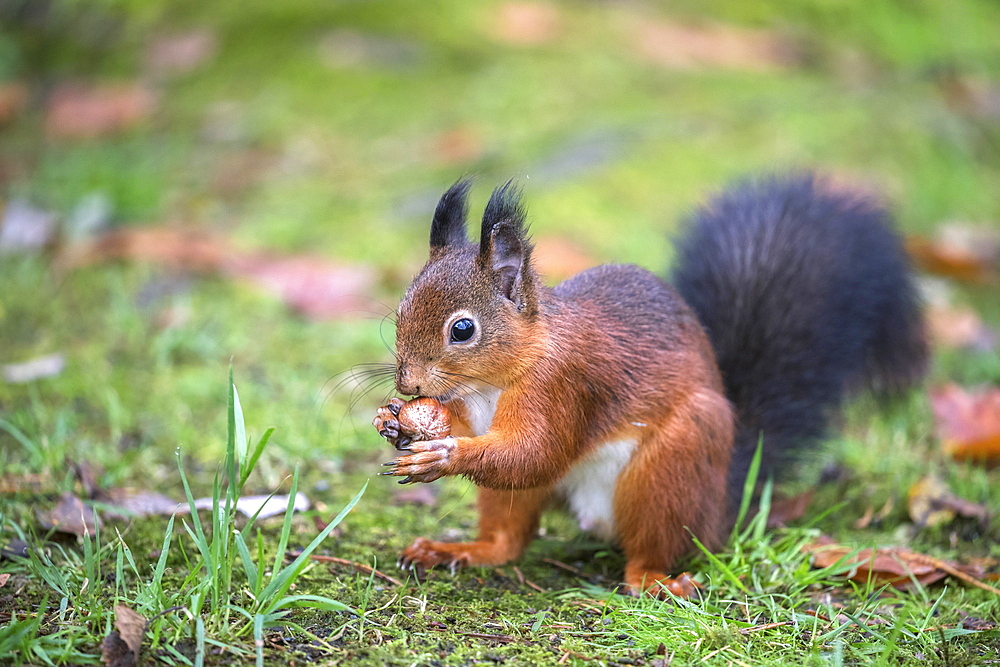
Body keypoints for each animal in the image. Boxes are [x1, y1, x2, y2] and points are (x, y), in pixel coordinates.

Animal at [372, 175, 924, 596]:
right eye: (401, 308)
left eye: (463, 329)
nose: (407, 383)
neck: (494, 380)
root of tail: (720, 506)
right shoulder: (474, 405)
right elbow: (480, 435)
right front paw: (397, 421)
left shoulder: (566, 384)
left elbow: (534, 454)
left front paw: (444, 455)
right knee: (508, 539)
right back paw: (458, 549)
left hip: (672, 466)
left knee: (648, 550)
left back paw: (659, 581)